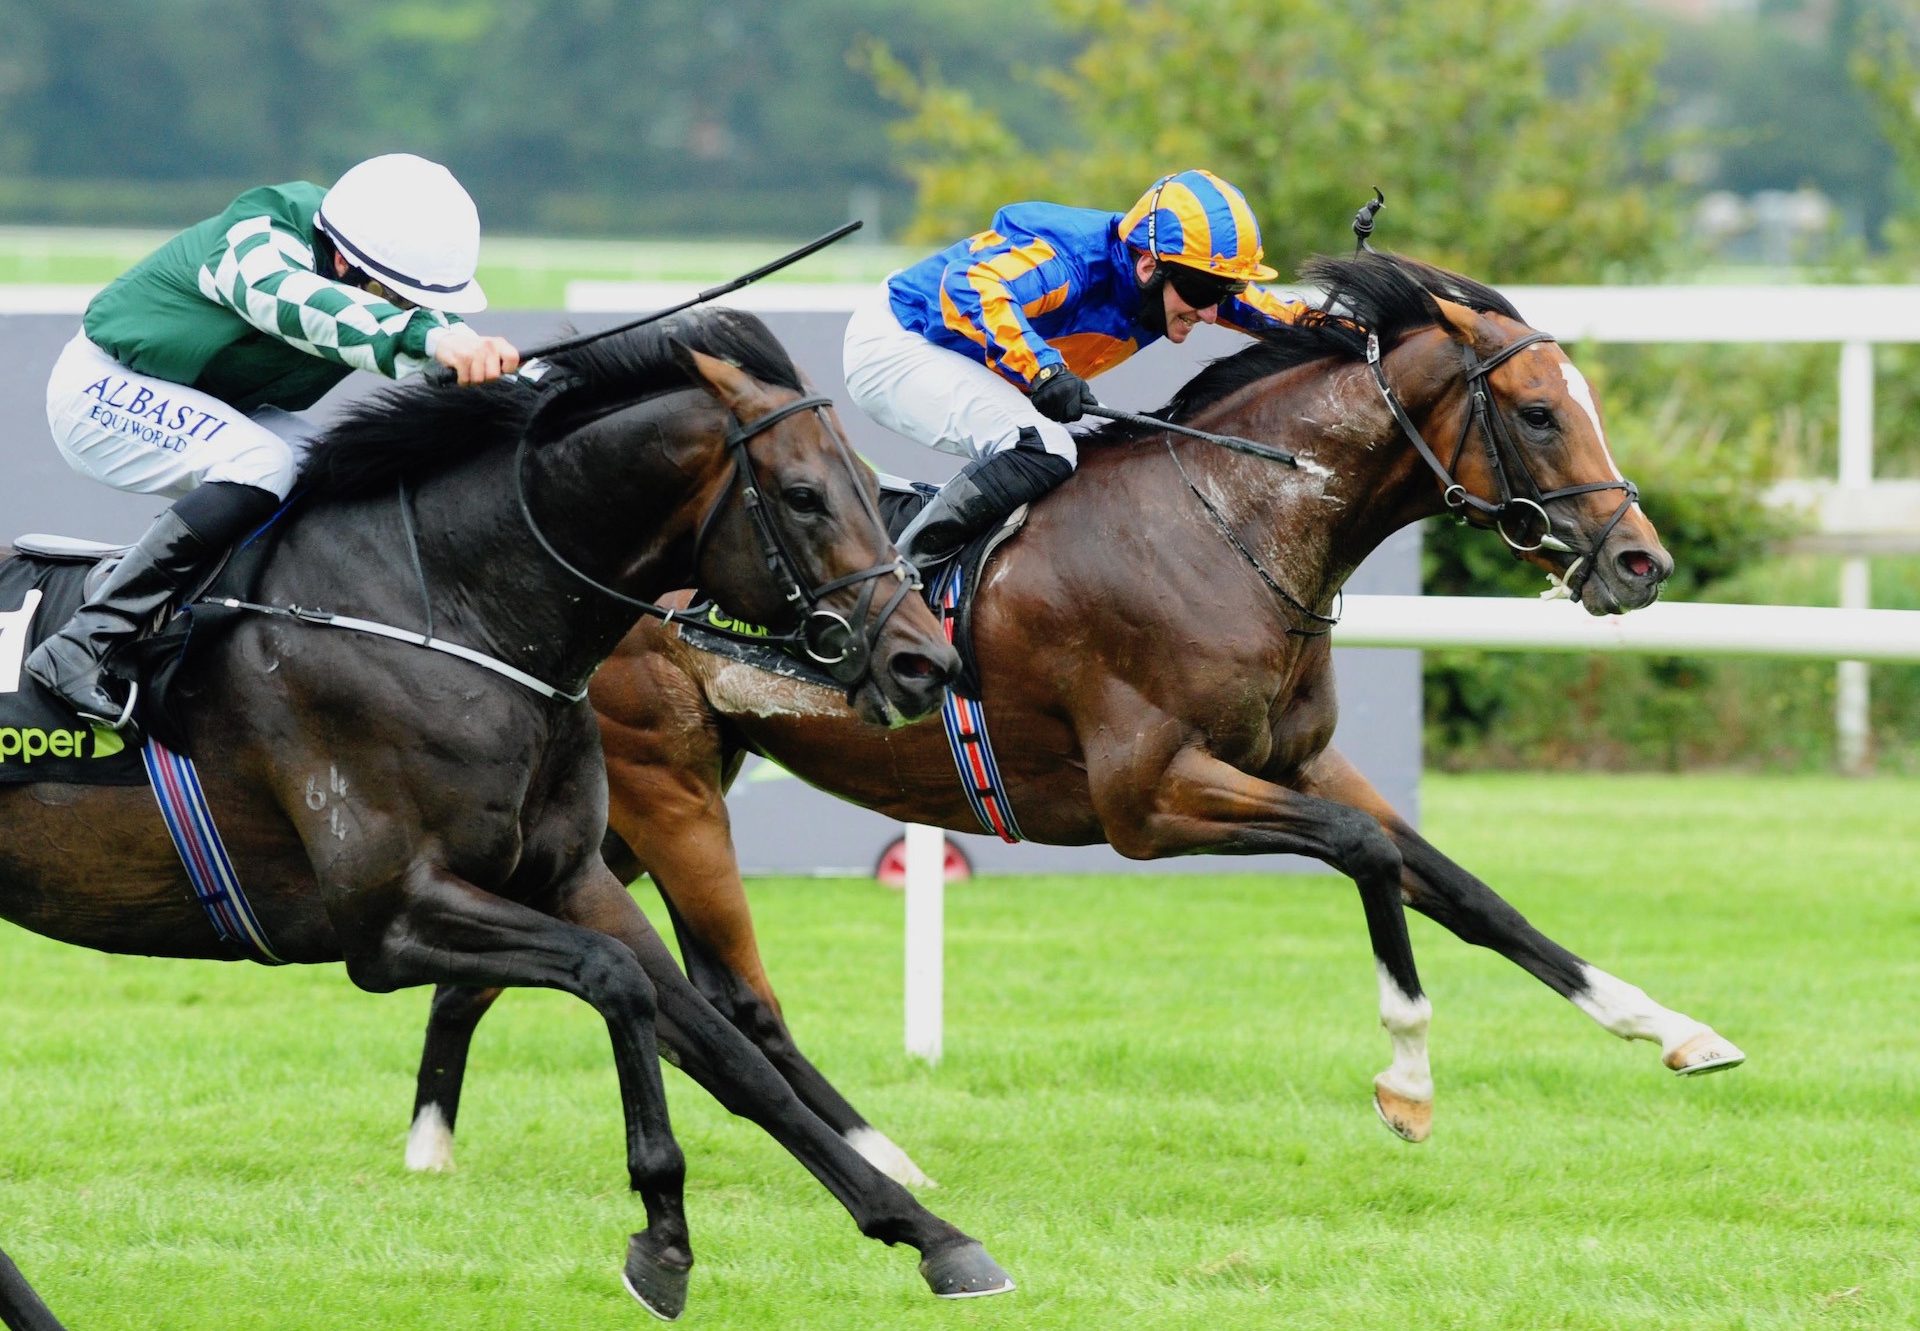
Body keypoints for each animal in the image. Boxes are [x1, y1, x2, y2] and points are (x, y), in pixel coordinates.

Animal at [0, 305, 1021, 1321]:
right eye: (804, 496)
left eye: (871, 488)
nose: (924, 663)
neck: (445, 613)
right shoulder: (388, 920)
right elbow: (615, 979)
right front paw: (663, 1234)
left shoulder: (571, 877)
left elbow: (728, 1049)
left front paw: (931, 1234)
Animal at [412, 253, 1751, 1190]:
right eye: (1537, 412)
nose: (1642, 561)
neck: (1230, 517)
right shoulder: (1148, 799)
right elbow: (1368, 856)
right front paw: (1408, 1079)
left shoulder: (1303, 759)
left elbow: (1470, 894)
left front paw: (1671, 1026)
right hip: (667, 777)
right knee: (736, 991)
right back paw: (885, 1158)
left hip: (624, 798)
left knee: (514, 963)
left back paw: (428, 1145)